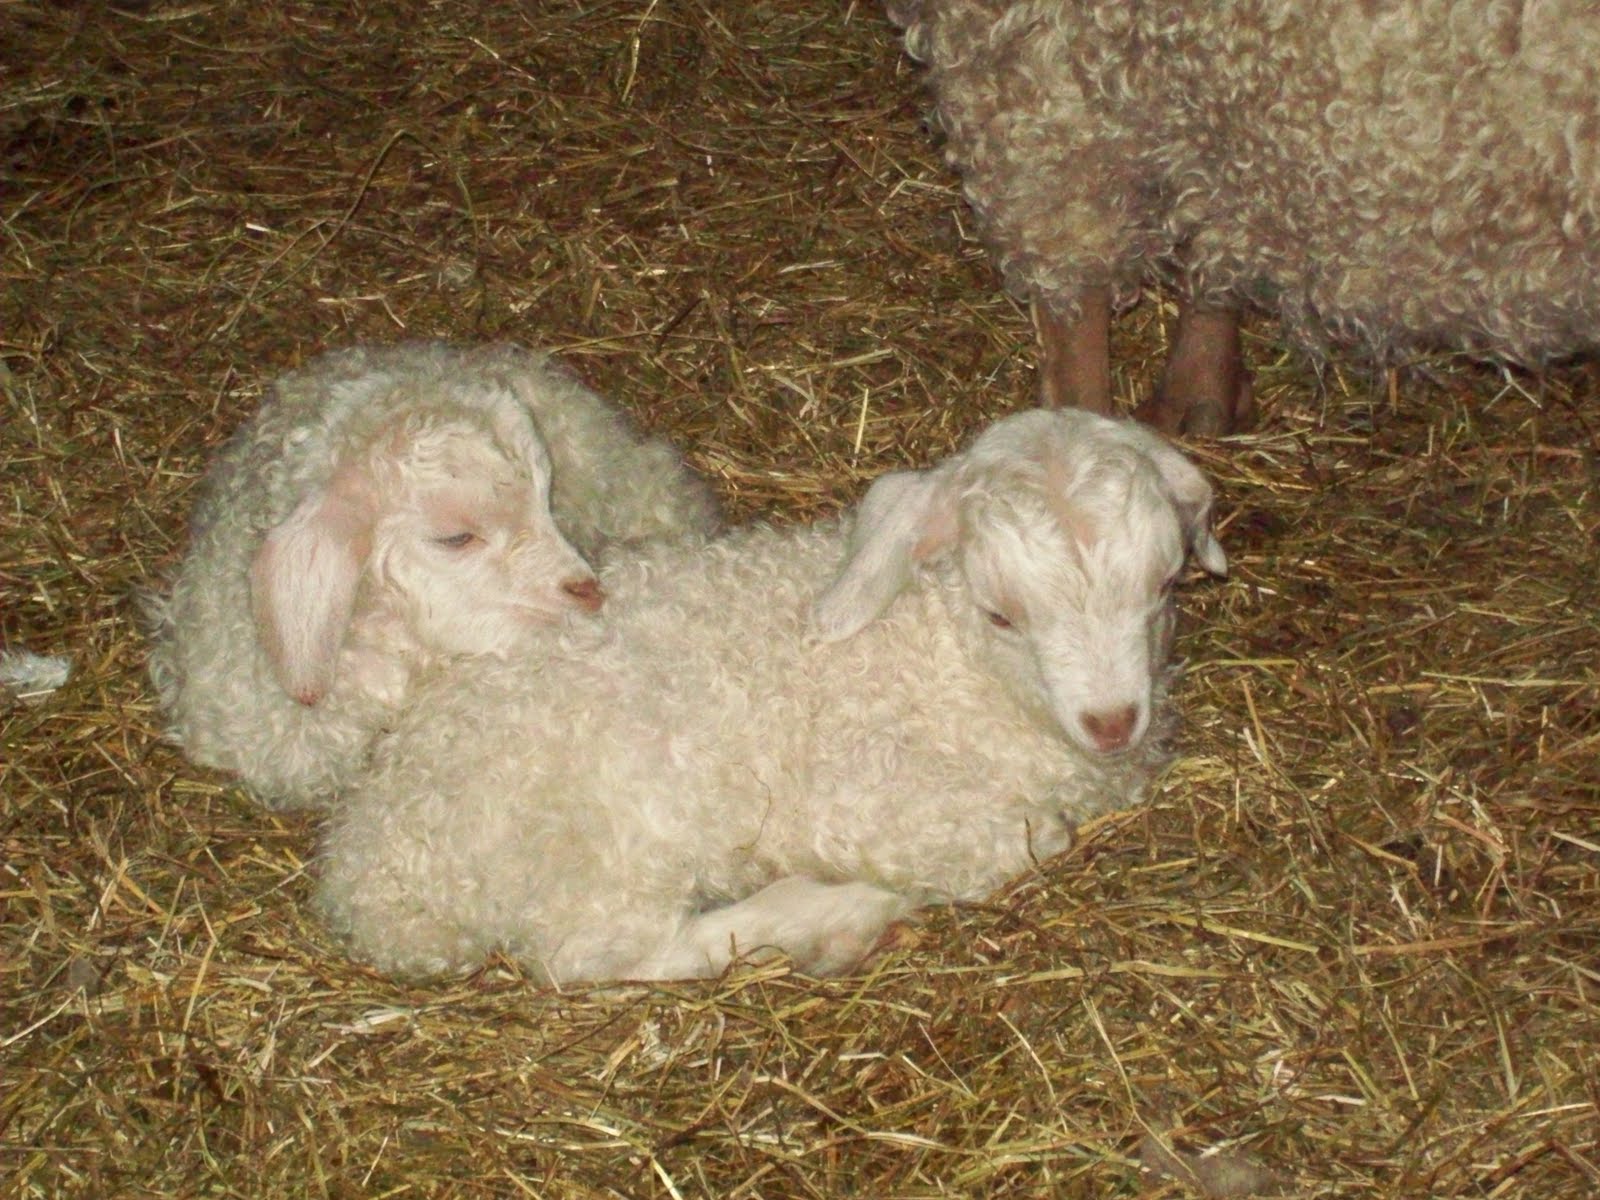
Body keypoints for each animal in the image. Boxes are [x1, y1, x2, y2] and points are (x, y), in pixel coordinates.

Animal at [314, 408, 1227, 984]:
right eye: (1003, 614)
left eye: (1164, 585)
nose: (1112, 722)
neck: (939, 649)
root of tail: (372, 864)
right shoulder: (859, 799)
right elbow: (1024, 839)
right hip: (599, 831)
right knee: (601, 954)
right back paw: (832, 915)